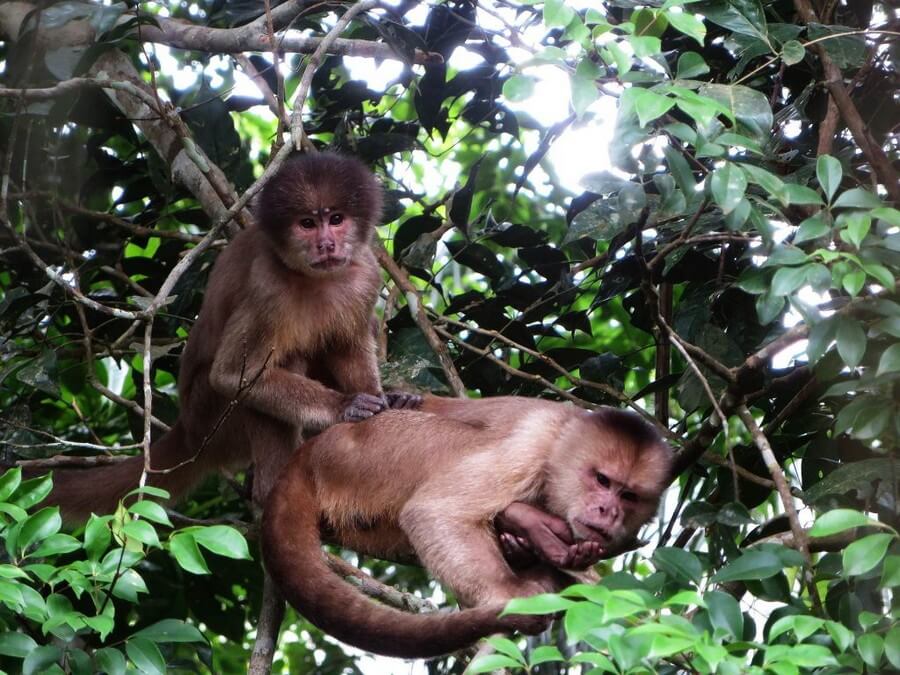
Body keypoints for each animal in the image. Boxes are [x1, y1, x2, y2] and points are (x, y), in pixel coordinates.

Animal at [37, 153, 422, 520]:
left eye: (336, 219)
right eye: (307, 224)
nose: (327, 244)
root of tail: (188, 430)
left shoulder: (366, 274)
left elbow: (349, 345)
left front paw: (386, 400)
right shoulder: (267, 286)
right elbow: (231, 375)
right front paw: (345, 406)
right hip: (212, 419)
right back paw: (272, 493)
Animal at [260, 396, 668, 660]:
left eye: (628, 496)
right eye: (602, 480)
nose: (607, 510)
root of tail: (310, 451)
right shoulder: (531, 446)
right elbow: (433, 512)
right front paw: (509, 594)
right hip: (365, 452)